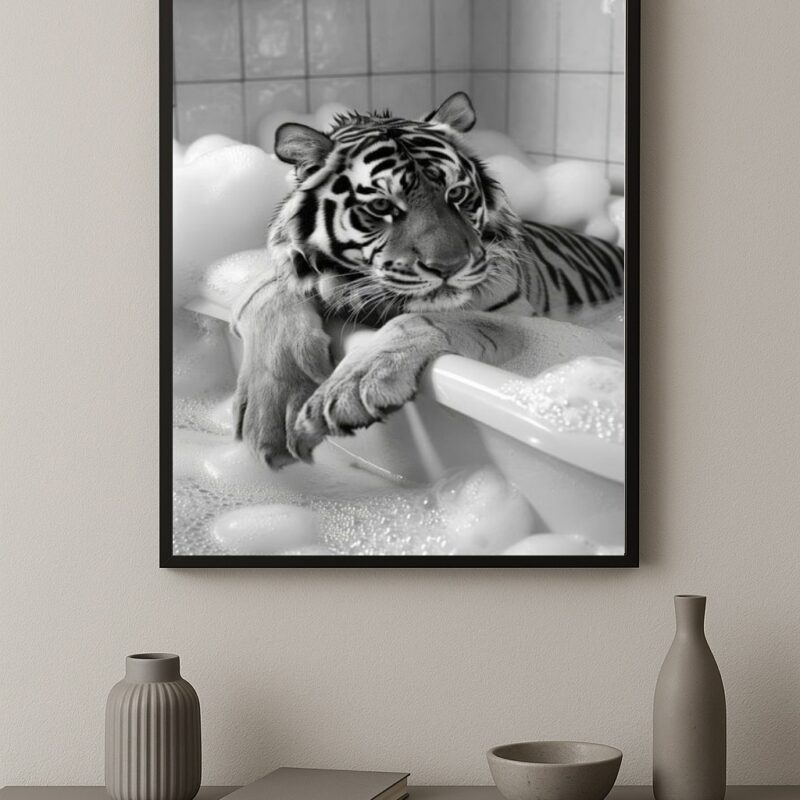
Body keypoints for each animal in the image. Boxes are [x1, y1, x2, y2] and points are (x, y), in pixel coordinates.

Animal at [232, 92, 624, 468]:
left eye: (457, 194)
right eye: (381, 207)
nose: (450, 266)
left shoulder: (525, 319)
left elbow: (425, 318)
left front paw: (352, 386)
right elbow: (268, 295)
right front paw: (273, 414)